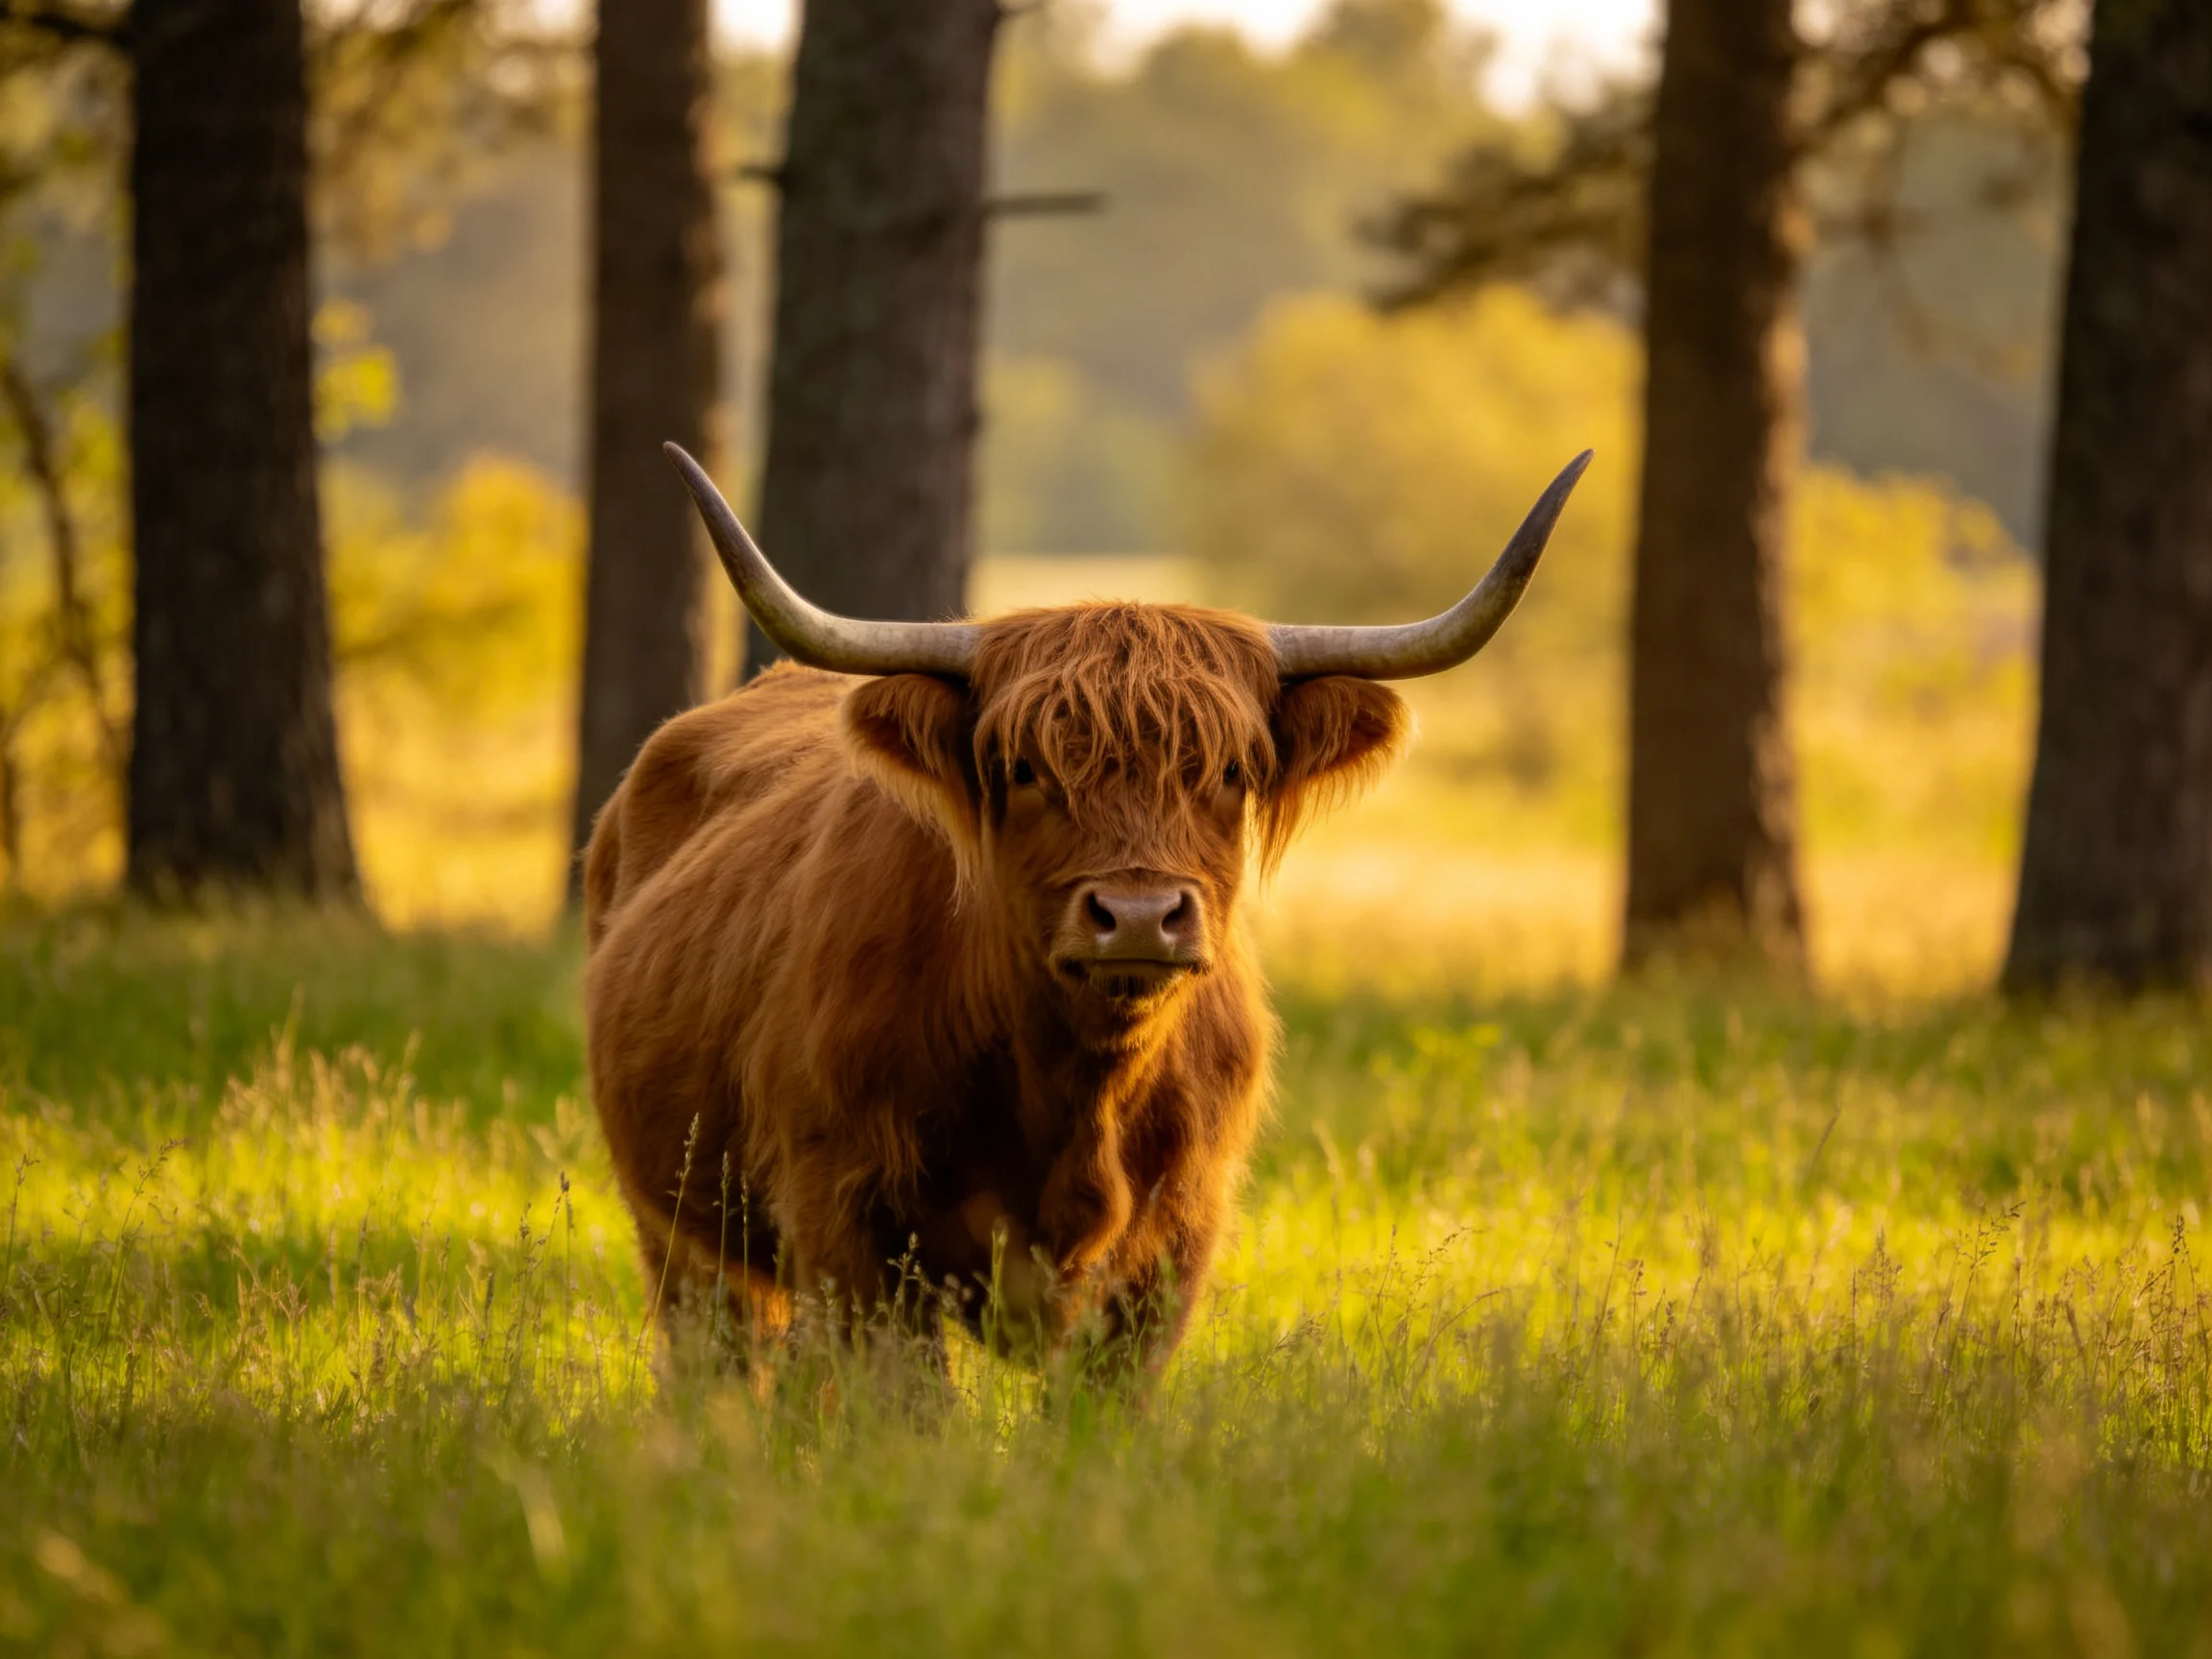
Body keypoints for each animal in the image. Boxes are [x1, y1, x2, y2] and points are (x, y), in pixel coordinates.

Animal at [584, 442, 1591, 1375]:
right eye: (1024, 768)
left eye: (1232, 769)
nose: (1139, 915)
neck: (1075, 1086)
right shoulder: (848, 1215)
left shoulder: (1172, 1243)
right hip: (680, 1232)